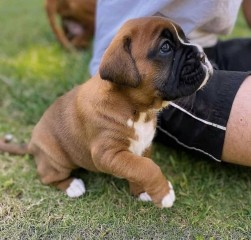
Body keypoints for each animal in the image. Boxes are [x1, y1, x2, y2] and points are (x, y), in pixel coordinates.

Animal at [0, 17, 213, 208]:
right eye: (165, 47)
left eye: (185, 37)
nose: (202, 55)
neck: (137, 110)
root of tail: (32, 144)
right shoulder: (108, 154)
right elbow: (147, 168)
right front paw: (164, 194)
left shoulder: (142, 147)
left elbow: (138, 167)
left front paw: (142, 191)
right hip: (57, 160)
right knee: (47, 177)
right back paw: (72, 185)